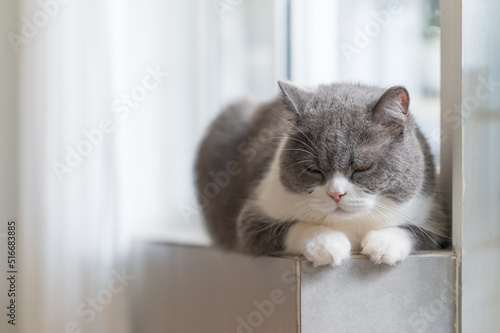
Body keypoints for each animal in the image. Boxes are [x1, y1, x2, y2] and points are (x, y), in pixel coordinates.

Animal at [195, 81, 450, 266]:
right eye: (313, 169)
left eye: (362, 167)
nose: (336, 194)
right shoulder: (253, 217)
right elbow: (292, 226)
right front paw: (326, 243)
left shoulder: (433, 213)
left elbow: (417, 231)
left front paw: (384, 244)